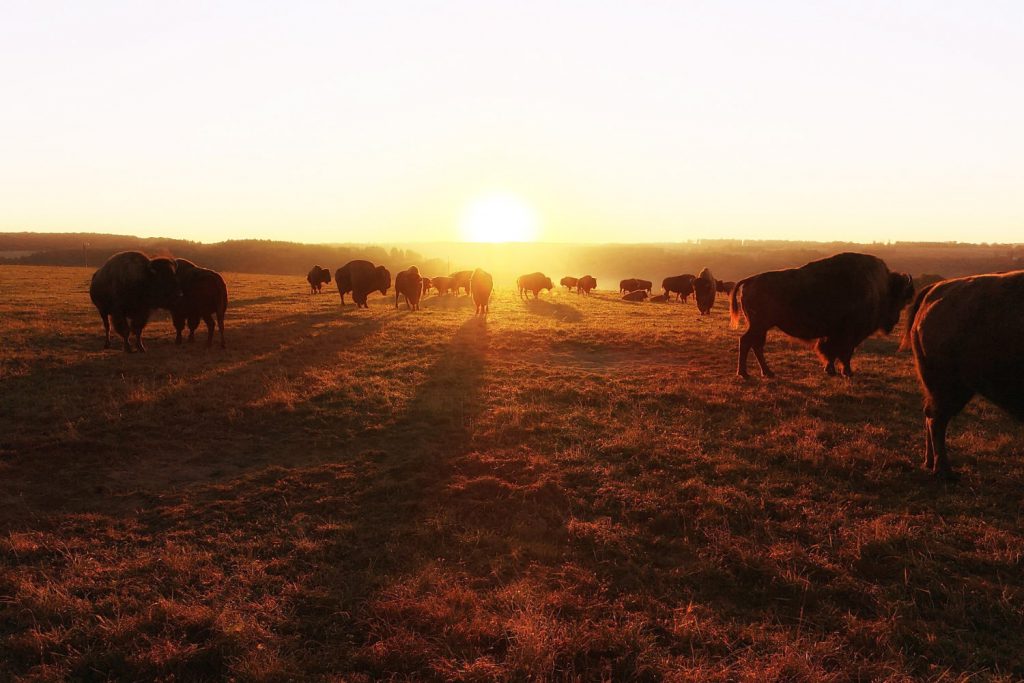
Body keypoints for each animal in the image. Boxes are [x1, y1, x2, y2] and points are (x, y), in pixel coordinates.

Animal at [729, 252, 913, 378]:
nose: (894, 321)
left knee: (755, 345)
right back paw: (745, 374)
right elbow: (844, 352)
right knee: (747, 342)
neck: (881, 287)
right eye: (900, 300)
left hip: (762, 327)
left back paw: (767, 373)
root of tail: (750, 280)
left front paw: (830, 370)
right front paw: (847, 372)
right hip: (759, 325)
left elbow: (831, 351)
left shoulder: (834, 334)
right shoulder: (848, 334)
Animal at [905, 270, 1024, 479]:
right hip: (949, 387)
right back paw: (943, 470)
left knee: (930, 415)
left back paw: (930, 462)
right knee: (936, 419)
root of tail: (934, 290)